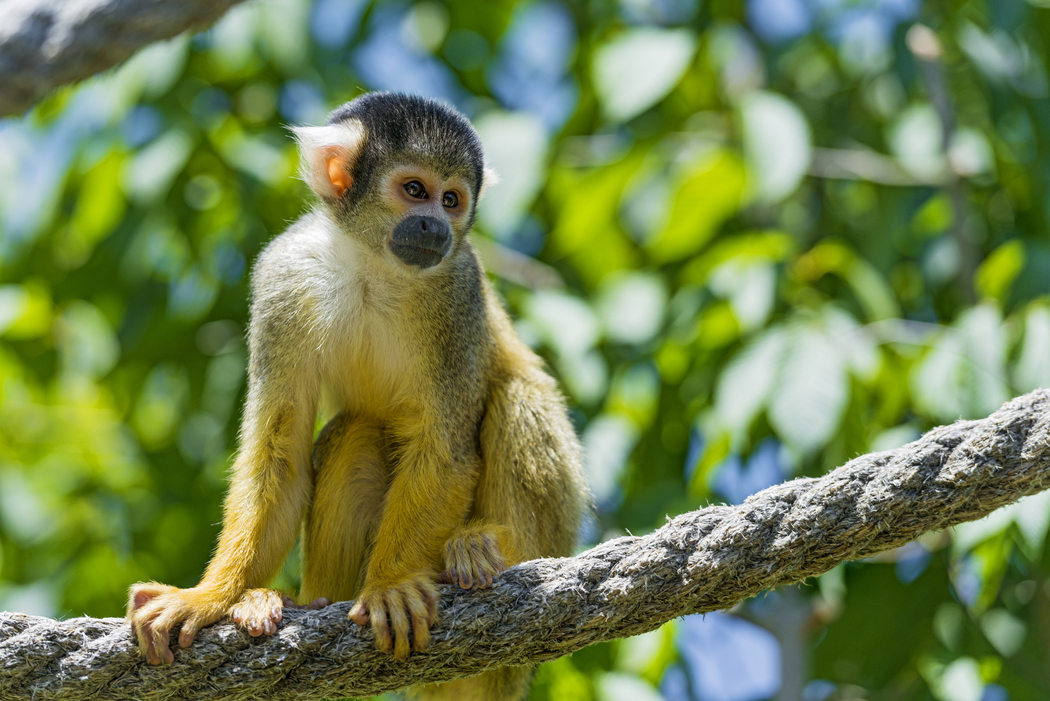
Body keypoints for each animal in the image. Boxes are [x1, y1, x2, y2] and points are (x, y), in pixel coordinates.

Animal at [128, 92, 588, 701]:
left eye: (452, 199)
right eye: (415, 190)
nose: (435, 225)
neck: (375, 264)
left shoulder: (459, 288)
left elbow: (445, 452)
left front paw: (390, 585)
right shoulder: (282, 276)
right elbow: (279, 452)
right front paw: (208, 598)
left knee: (518, 394)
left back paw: (490, 551)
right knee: (354, 431)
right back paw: (300, 601)